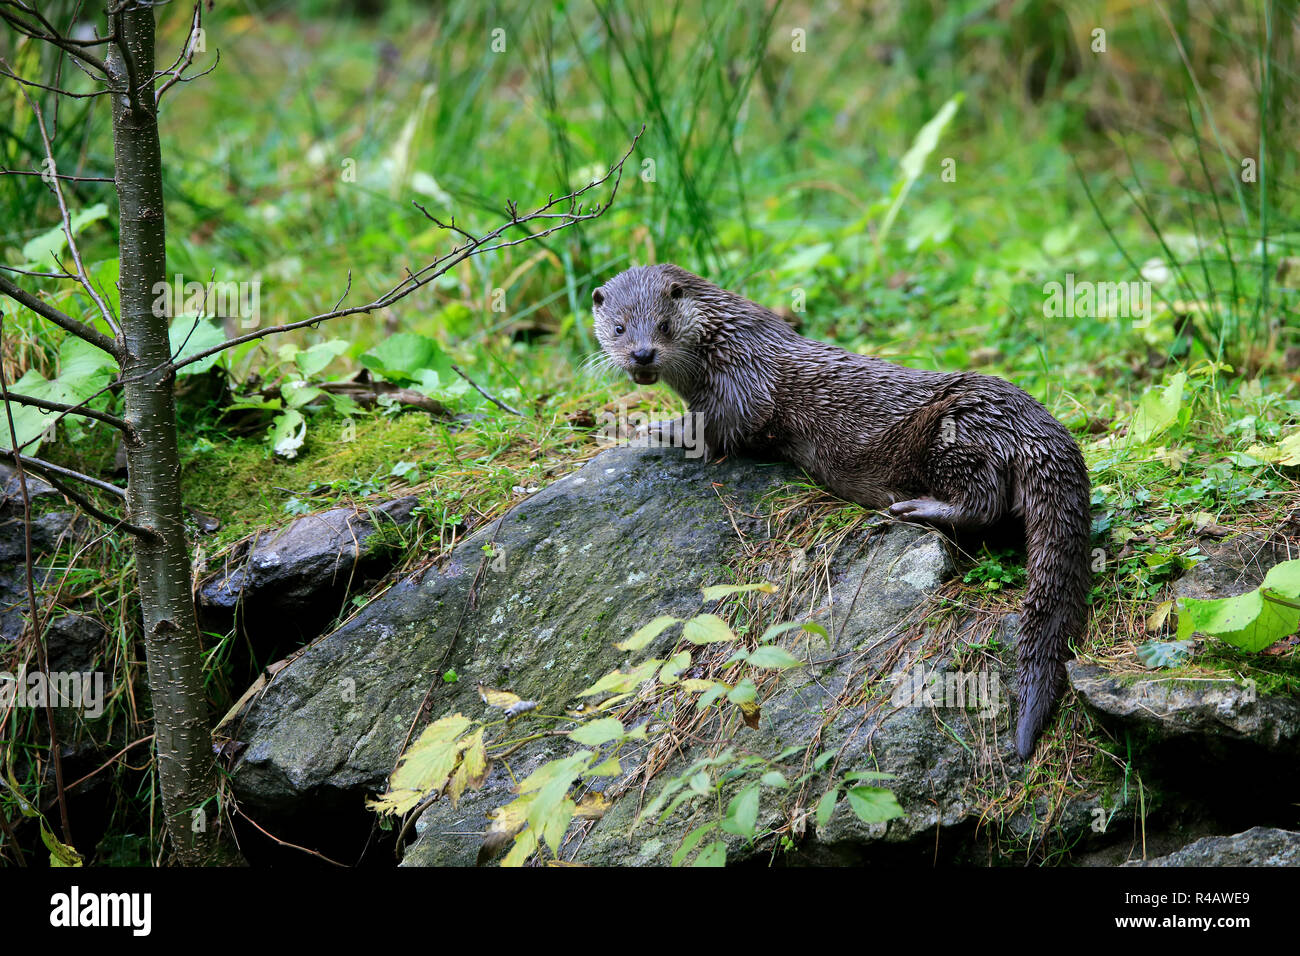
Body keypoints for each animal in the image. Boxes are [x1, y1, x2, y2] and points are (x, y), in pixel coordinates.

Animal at [595, 264, 1092, 764]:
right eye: (618, 328)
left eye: (664, 325)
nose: (641, 353)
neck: (729, 343)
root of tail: (1035, 425)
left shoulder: (740, 389)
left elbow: (715, 429)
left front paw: (652, 426)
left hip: (956, 435)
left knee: (982, 503)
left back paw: (914, 508)